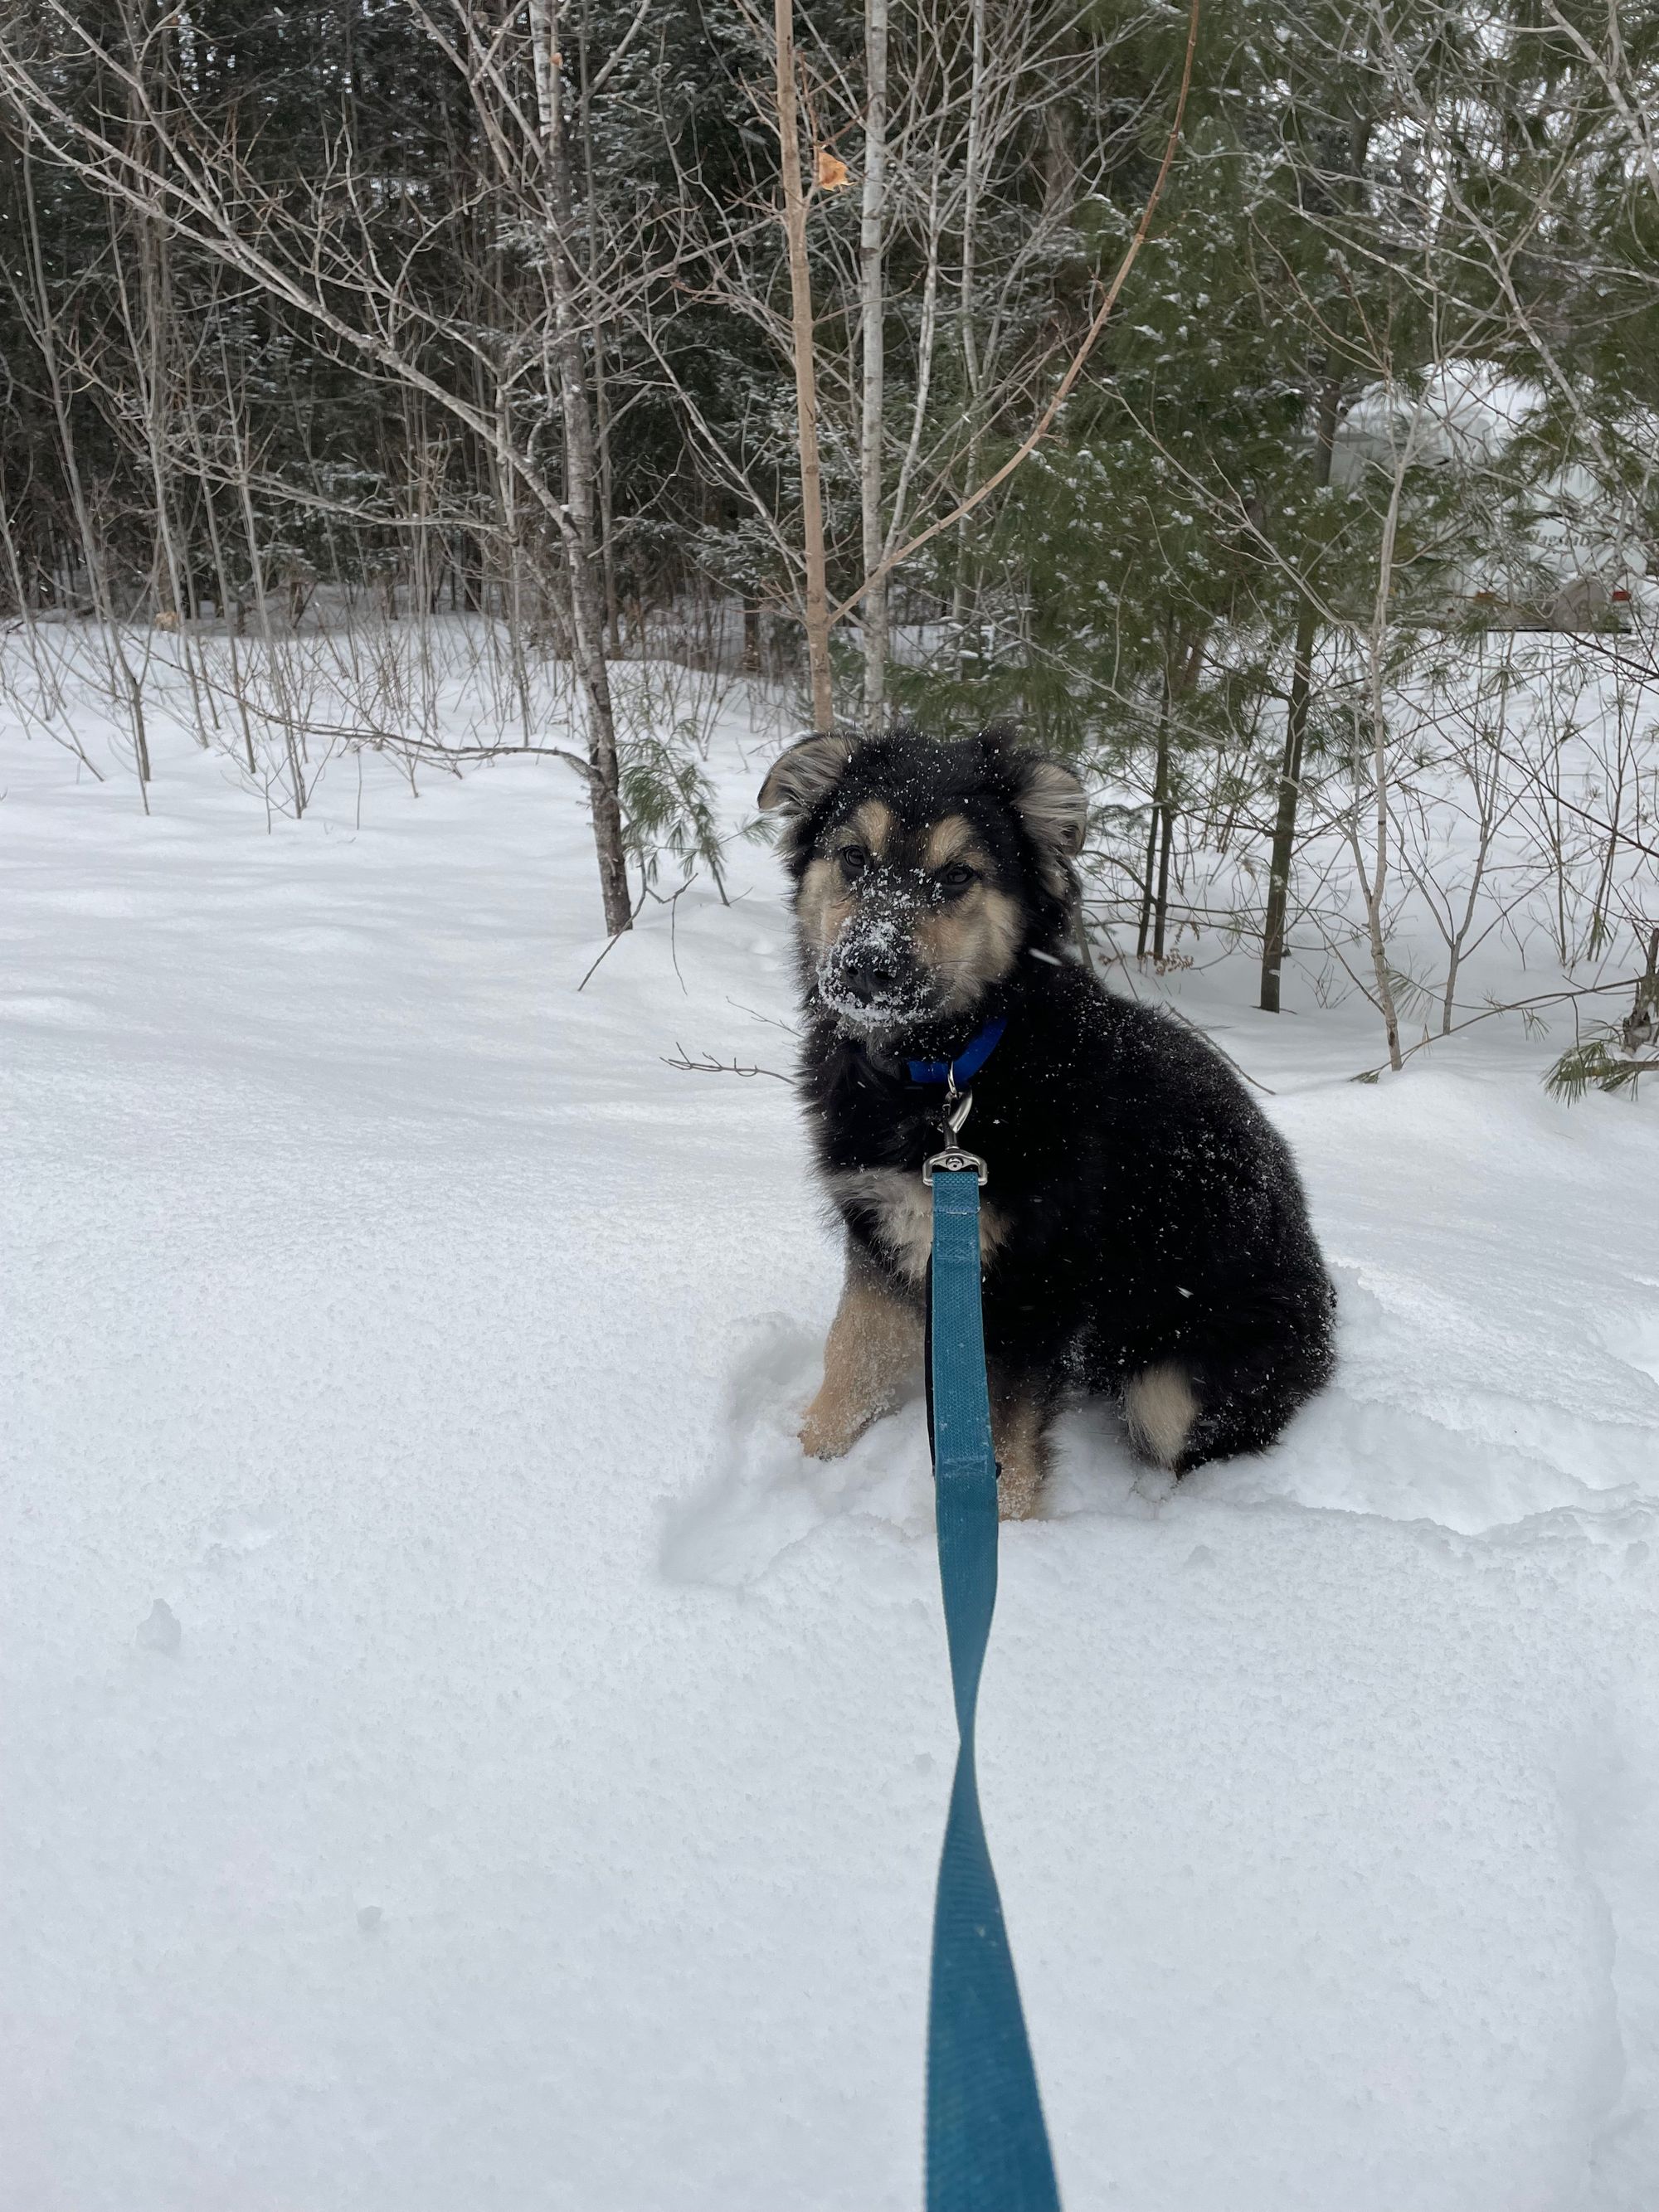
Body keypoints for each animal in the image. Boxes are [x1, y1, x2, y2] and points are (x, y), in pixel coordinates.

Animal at [765, 725, 1335, 1521]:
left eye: (958, 875)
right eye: (854, 857)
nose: (869, 968)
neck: (951, 1072)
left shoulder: (1031, 1283)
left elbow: (1004, 1437)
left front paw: (1016, 1534)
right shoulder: (882, 1241)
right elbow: (850, 1361)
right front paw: (806, 1463)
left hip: (1176, 1380)